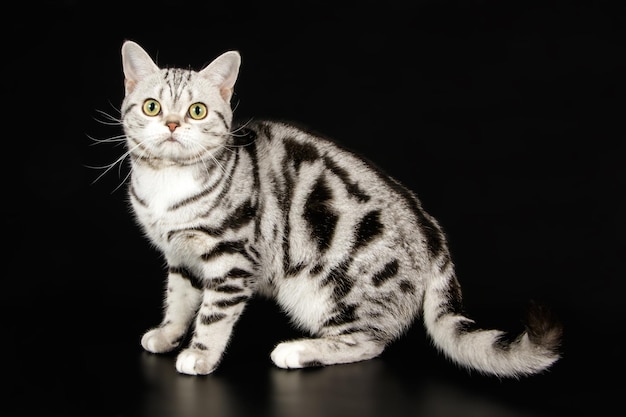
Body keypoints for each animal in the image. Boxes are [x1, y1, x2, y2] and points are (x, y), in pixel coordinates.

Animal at [117, 40, 560, 376]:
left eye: (197, 111)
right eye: (153, 106)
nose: (173, 124)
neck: (165, 187)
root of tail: (434, 236)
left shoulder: (232, 258)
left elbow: (213, 313)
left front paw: (200, 354)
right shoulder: (181, 256)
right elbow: (178, 299)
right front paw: (167, 334)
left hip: (333, 290)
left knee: (370, 341)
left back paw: (298, 350)